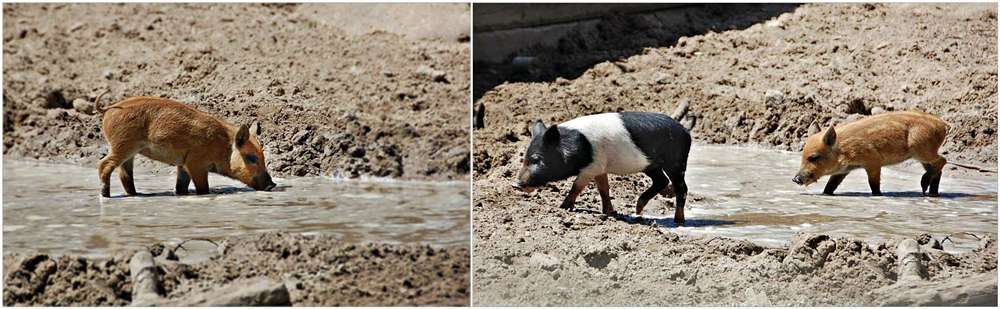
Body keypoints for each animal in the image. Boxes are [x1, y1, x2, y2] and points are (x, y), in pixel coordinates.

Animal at [512, 112, 692, 223]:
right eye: (525, 158)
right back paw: (638, 210)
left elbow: (576, 187)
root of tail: (685, 131)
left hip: (676, 161)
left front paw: (563, 207)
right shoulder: (600, 168)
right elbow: (603, 189)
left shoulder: (592, 167)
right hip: (651, 165)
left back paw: (678, 221)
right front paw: (609, 212)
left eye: (537, 159)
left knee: (681, 187)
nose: (515, 184)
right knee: (662, 181)